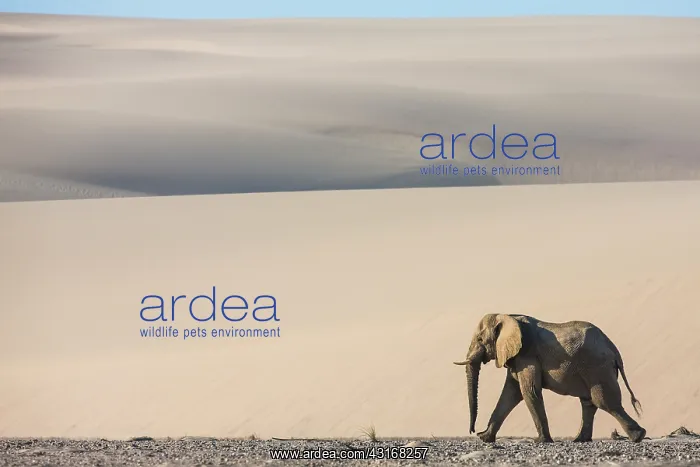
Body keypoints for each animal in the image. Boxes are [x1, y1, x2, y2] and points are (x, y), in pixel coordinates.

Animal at [453, 314, 646, 443]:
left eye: (480, 339)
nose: (473, 431)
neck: (508, 315)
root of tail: (613, 349)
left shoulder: (527, 355)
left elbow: (528, 391)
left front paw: (541, 441)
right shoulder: (516, 357)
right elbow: (510, 394)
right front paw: (485, 438)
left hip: (597, 367)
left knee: (603, 401)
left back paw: (638, 436)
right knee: (588, 402)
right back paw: (579, 439)